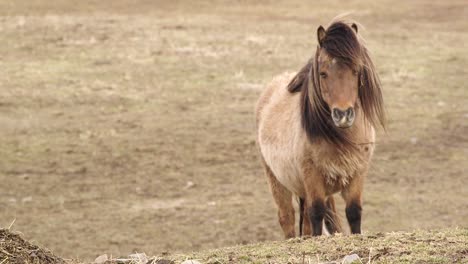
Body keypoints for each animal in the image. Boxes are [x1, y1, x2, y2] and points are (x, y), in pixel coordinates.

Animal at [256, 19, 384, 236]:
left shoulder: (358, 174)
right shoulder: (312, 177)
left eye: (356, 71)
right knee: (287, 217)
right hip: (277, 180)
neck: (341, 139)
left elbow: (353, 212)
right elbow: (316, 213)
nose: (343, 114)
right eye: (323, 73)